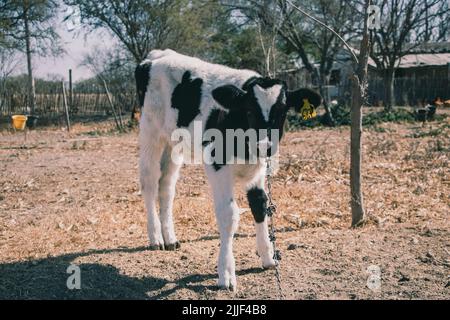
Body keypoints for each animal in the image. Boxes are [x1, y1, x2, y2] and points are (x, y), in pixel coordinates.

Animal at [135, 49, 322, 290]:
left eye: (282, 112)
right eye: (250, 111)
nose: (265, 146)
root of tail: (157, 55)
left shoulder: (259, 168)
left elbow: (260, 205)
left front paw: (268, 257)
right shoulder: (217, 165)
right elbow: (229, 215)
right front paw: (226, 274)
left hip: (173, 142)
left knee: (166, 186)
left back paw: (170, 238)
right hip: (151, 133)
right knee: (149, 182)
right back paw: (156, 238)